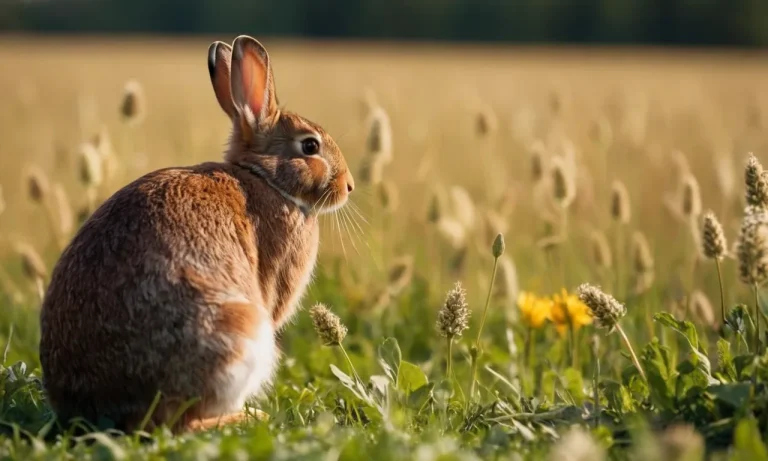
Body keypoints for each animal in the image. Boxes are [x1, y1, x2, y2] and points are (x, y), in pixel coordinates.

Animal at [39, 35, 356, 432]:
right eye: (310, 146)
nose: (349, 186)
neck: (266, 178)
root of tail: (101, 407)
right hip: (238, 336)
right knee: (182, 423)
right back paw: (248, 416)